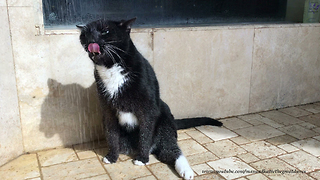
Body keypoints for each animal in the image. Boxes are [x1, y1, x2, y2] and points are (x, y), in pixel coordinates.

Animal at [77, 18, 222, 180]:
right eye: (85, 34)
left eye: (105, 31)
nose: (91, 39)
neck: (111, 67)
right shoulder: (107, 110)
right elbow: (111, 134)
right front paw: (111, 157)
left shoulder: (147, 109)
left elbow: (145, 133)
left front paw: (142, 158)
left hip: (164, 126)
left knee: (171, 150)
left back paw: (187, 172)